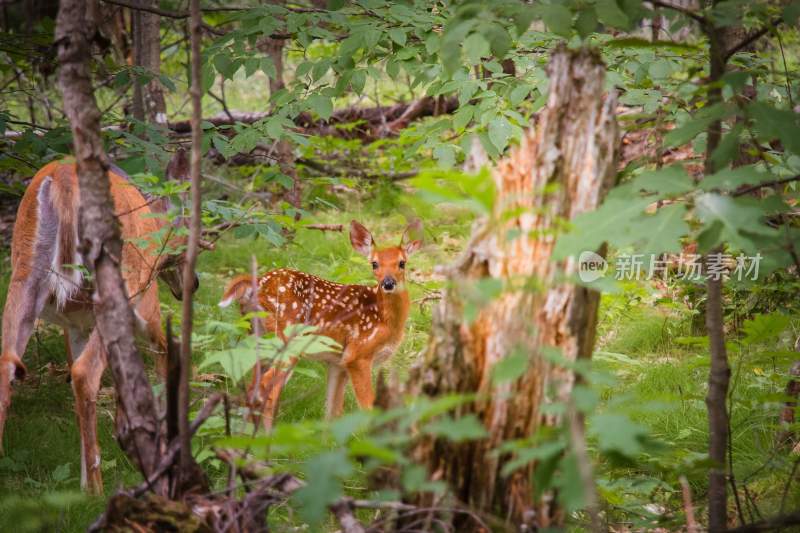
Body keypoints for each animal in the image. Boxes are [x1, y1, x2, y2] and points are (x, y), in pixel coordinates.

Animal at [0, 152, 198, 492]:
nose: (193, 284)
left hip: (24, 273)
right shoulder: (146, 304)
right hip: (121, 281)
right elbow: (163, 352)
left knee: (7, 366)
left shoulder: (75, 323)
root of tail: (64, 177)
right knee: (85, 373)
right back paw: (96, 489)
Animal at [216, 219, 422, 428]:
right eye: (374, 263)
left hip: (258, 337)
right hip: (286, 340)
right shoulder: (358, 354)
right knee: (266, 389)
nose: (388, 283)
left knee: (252, 387)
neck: (384, 319)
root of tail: (256, 284)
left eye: (402, 263)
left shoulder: (338, 363)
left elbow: (333, 413)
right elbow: (370, 408)